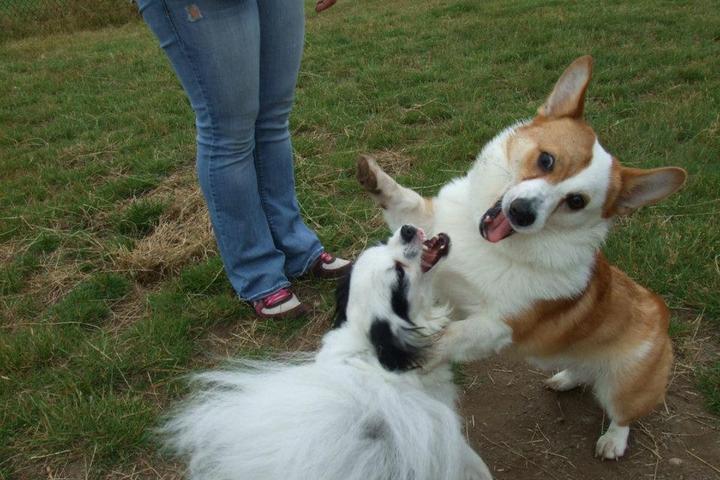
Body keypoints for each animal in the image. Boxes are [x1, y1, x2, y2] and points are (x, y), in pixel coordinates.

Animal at [358, 54, 688, 460]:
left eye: (576, 201)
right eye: (546, 160)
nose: (522, 212)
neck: (491, 246)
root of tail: (662, 313)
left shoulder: (499, 325)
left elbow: (451, 336)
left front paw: (414, 351)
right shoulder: (432, 227)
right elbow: (405, 203)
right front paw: (376, 180)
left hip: (624, 384)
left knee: (624, 413)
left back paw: (613, 440)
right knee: (581, 371)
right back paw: (566, 378)